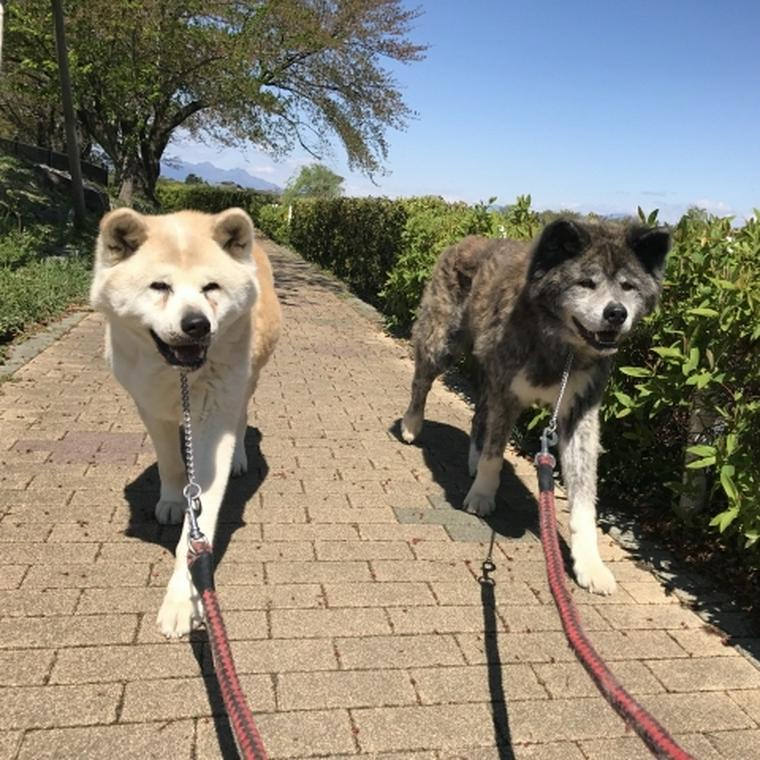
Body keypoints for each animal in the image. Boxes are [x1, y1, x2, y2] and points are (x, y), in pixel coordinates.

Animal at [91, 206, 282, 636]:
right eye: (159, 286)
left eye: (211, 287)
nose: (197, 324)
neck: (177, 374)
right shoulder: (148, 405)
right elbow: (169, 462)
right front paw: (171, 499)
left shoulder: (217, 418)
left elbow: (199, 521)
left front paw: (182, 600)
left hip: (248, 380)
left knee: (243, 418)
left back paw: (241, 457)